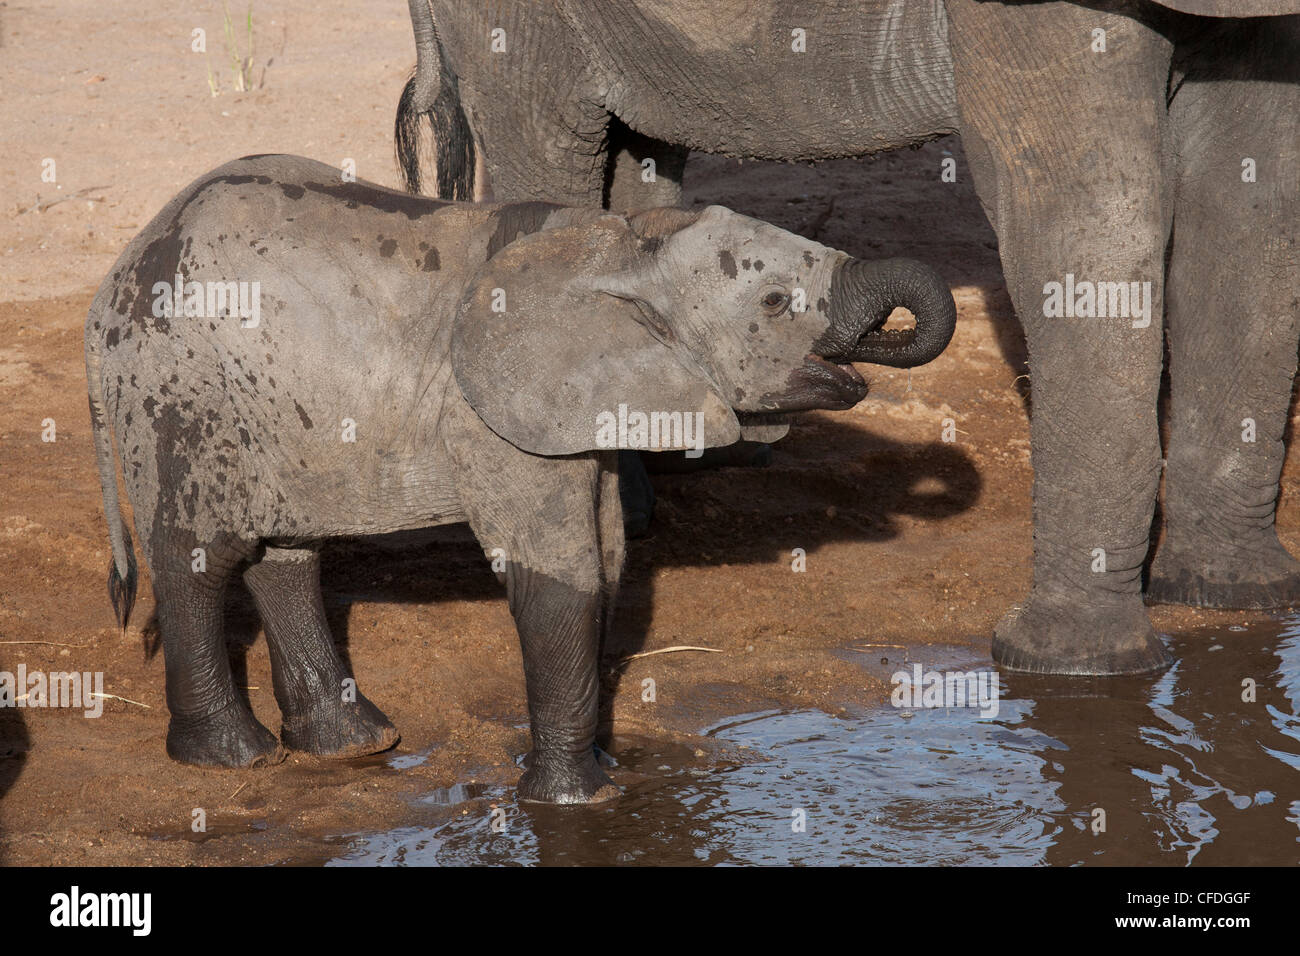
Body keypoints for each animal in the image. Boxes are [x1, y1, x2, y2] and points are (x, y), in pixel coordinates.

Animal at [84, 153, 957, 803]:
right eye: (775, 301)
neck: (617, 243)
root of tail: (109, 289)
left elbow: (609, 562)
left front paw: (602, 772)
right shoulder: (491, 416)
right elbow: (561, 575)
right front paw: (579, 801)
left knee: (285, 554)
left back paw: (353, 746)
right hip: (180, 393)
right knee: (202, 555)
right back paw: (234, 759)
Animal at [394, 0, 1300, 677]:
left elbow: (1253, 207)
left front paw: (1235, 595)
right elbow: (1094, 222)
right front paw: (1074, 667)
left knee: (639, 160)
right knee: (555, 149)